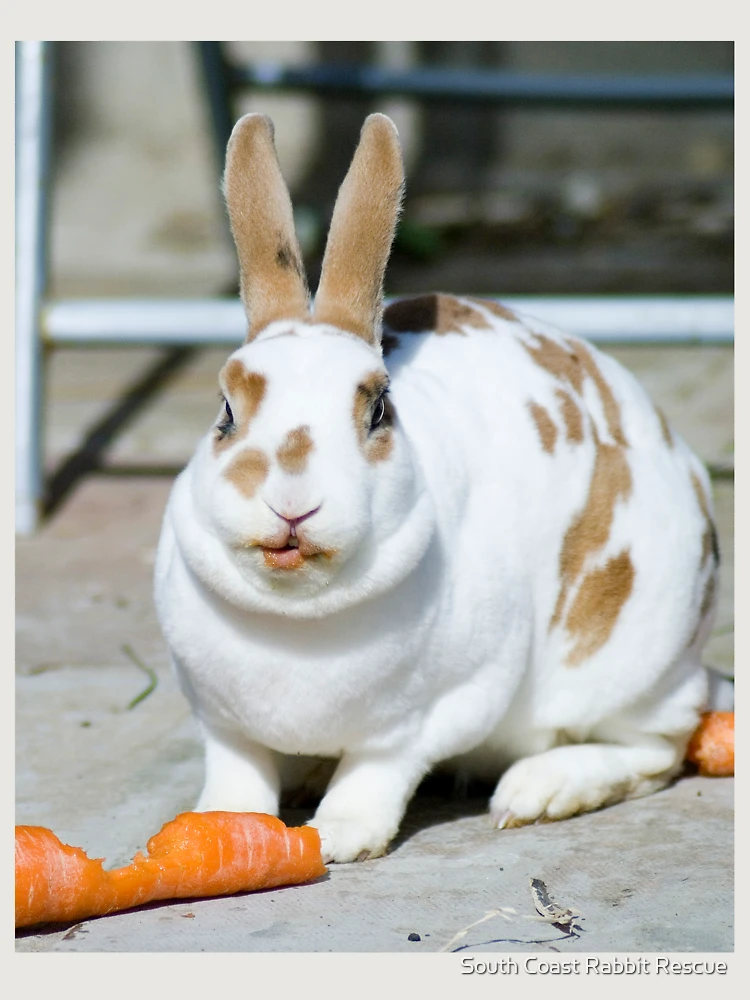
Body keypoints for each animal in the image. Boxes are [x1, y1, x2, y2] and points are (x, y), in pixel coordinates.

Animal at [154, 112, 720, 864]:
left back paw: (539, 791)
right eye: (225, 412)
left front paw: (340, 838)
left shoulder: (432, 713)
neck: (298, 616)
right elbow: (238, 773)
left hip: (627, 662)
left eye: (378, 411)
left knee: (660, 750)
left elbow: (379, 770)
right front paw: (221, 827)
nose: (292, 505)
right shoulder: (221, 719)